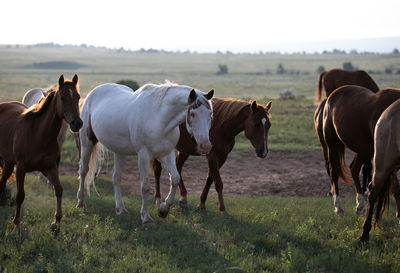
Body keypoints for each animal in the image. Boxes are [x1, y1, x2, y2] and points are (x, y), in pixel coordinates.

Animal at [0, 75, 82, 230]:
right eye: (62, 97)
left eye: (78, 97)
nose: (77, 123)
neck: (38, 134)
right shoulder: (21, 168)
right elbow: (20, 195)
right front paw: (16, 224)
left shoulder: (49, 167)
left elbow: (58, 189)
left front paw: (56, 222)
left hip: (8, 163)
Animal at [76, 82, 214, 222]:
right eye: (193, 114)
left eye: (210, 114)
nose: (205, 145)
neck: (159, 119)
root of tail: (93, 92)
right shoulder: (143, 155)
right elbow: (145, 186)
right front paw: (146, 217)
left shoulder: (166, 154)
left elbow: (175, 179)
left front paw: (163, 209)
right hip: (87, 142)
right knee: (83, 170)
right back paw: (81, 203)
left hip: (120, 151)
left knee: (116, 177)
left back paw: (121, 209)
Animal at [320, 85, 400, 215]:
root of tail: (331, 98)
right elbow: (395, 186)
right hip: (333, 145)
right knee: (334, 172)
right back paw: (339, 207)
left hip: (364, 150)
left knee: (354, 169)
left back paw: (360, 203)